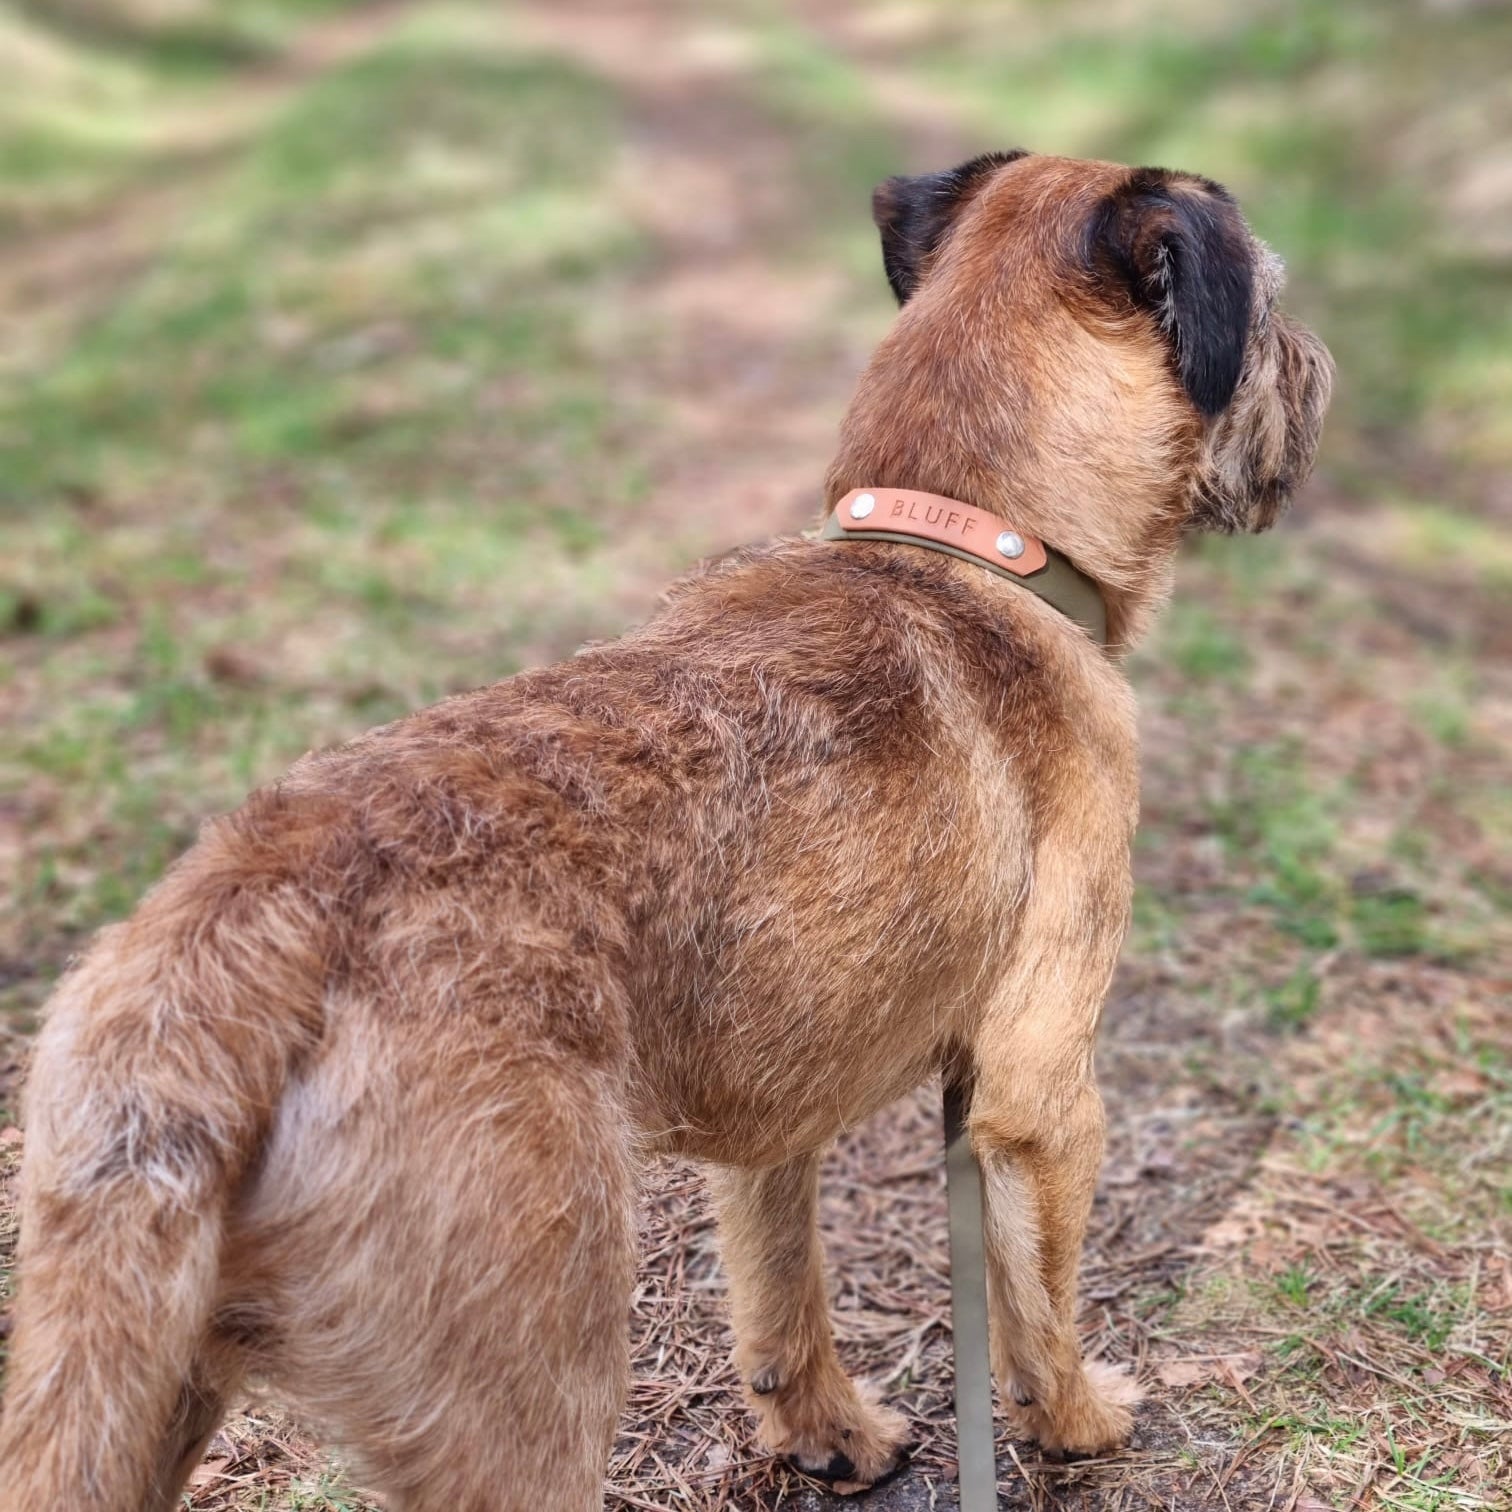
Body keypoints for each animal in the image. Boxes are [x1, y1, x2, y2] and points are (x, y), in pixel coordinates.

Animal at [0, 156, 1324, 1512]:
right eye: (1270, 303)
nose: (1321, 365)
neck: (963, 545)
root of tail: (233, 959)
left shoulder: (779, 1110)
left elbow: (781, 1281)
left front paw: (823, 1429)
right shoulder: (1039, 1093)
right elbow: (1037, 1306)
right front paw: (1080, 1421)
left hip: (131, 1379)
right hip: (534, 1377)